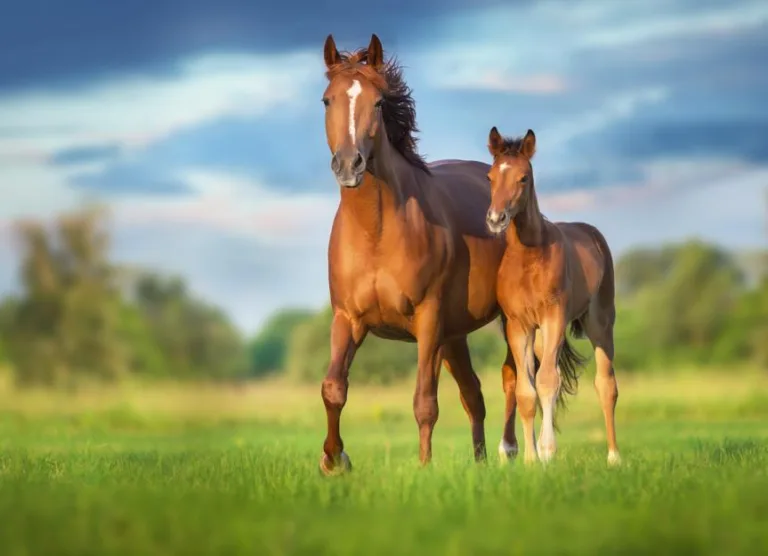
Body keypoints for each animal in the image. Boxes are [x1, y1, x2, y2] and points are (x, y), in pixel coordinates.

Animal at [318, 33, 523, 474]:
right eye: (327, 100)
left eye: (379, 102)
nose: (349, 165)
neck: (376, 232)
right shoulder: (348, 319)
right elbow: (333, 388)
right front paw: (334, 460)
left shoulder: (428, 320)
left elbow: (424, 402)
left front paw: (424, 468)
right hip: (455, 335)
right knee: (473, 395)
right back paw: (480, 463)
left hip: (504, 319)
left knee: (513, 377)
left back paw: (509, 450)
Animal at [484, 125, 621, 465]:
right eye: (490, 177)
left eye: (523, 178)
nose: (495, 219)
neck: (528, 256)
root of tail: (593, 233)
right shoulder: (519, 326)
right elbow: (526, 390)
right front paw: (531, 460)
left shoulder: (553, 317)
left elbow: (546, 382)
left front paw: (547, 452)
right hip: (544, 337)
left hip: (599, 323)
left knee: (606, 384)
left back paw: (614, 456)